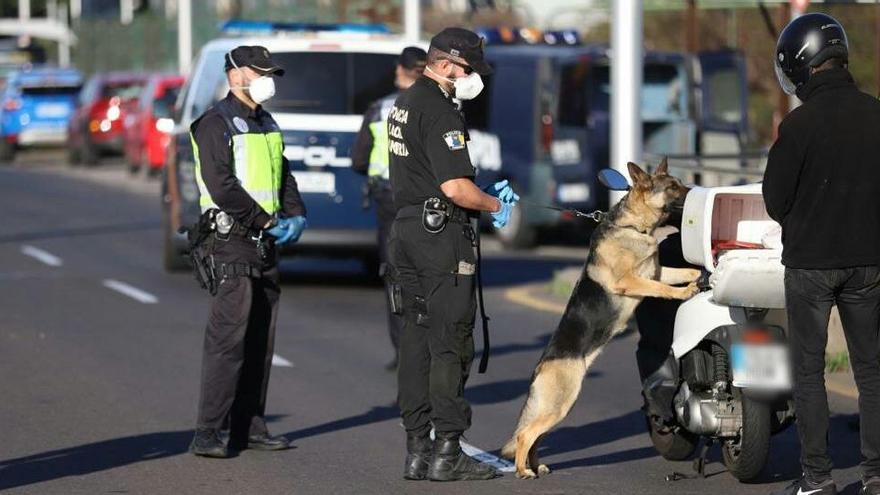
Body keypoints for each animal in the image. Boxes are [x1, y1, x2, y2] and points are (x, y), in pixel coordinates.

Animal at [502, 161, 700, 478]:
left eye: (680, 183)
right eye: (672, 187)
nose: (696, 191)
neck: (633, 226)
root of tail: (540, 367)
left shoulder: (655, 272)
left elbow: (685, 273)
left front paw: (699, 276)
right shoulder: (632, 281)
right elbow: (662, 290)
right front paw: (683, 293)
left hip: (558, 408)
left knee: (535, 436)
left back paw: (536, 465)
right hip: (561, 403)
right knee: (524, 435)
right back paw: (523, 470)